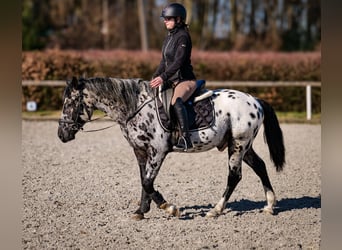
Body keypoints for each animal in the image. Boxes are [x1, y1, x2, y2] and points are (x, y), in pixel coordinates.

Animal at [57, 76, 284, 219]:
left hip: (238, 144)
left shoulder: (158, 151)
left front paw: (169, 208)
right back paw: (269, 205)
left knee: (234, 176)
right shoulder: (140, 151)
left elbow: (148, 182)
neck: (135, 107)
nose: (61, 135)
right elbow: (144, 180)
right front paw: (141, 211)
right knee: (260, 166)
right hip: (242, 145)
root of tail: (255, 100)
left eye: (70, 102)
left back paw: (216, 210)